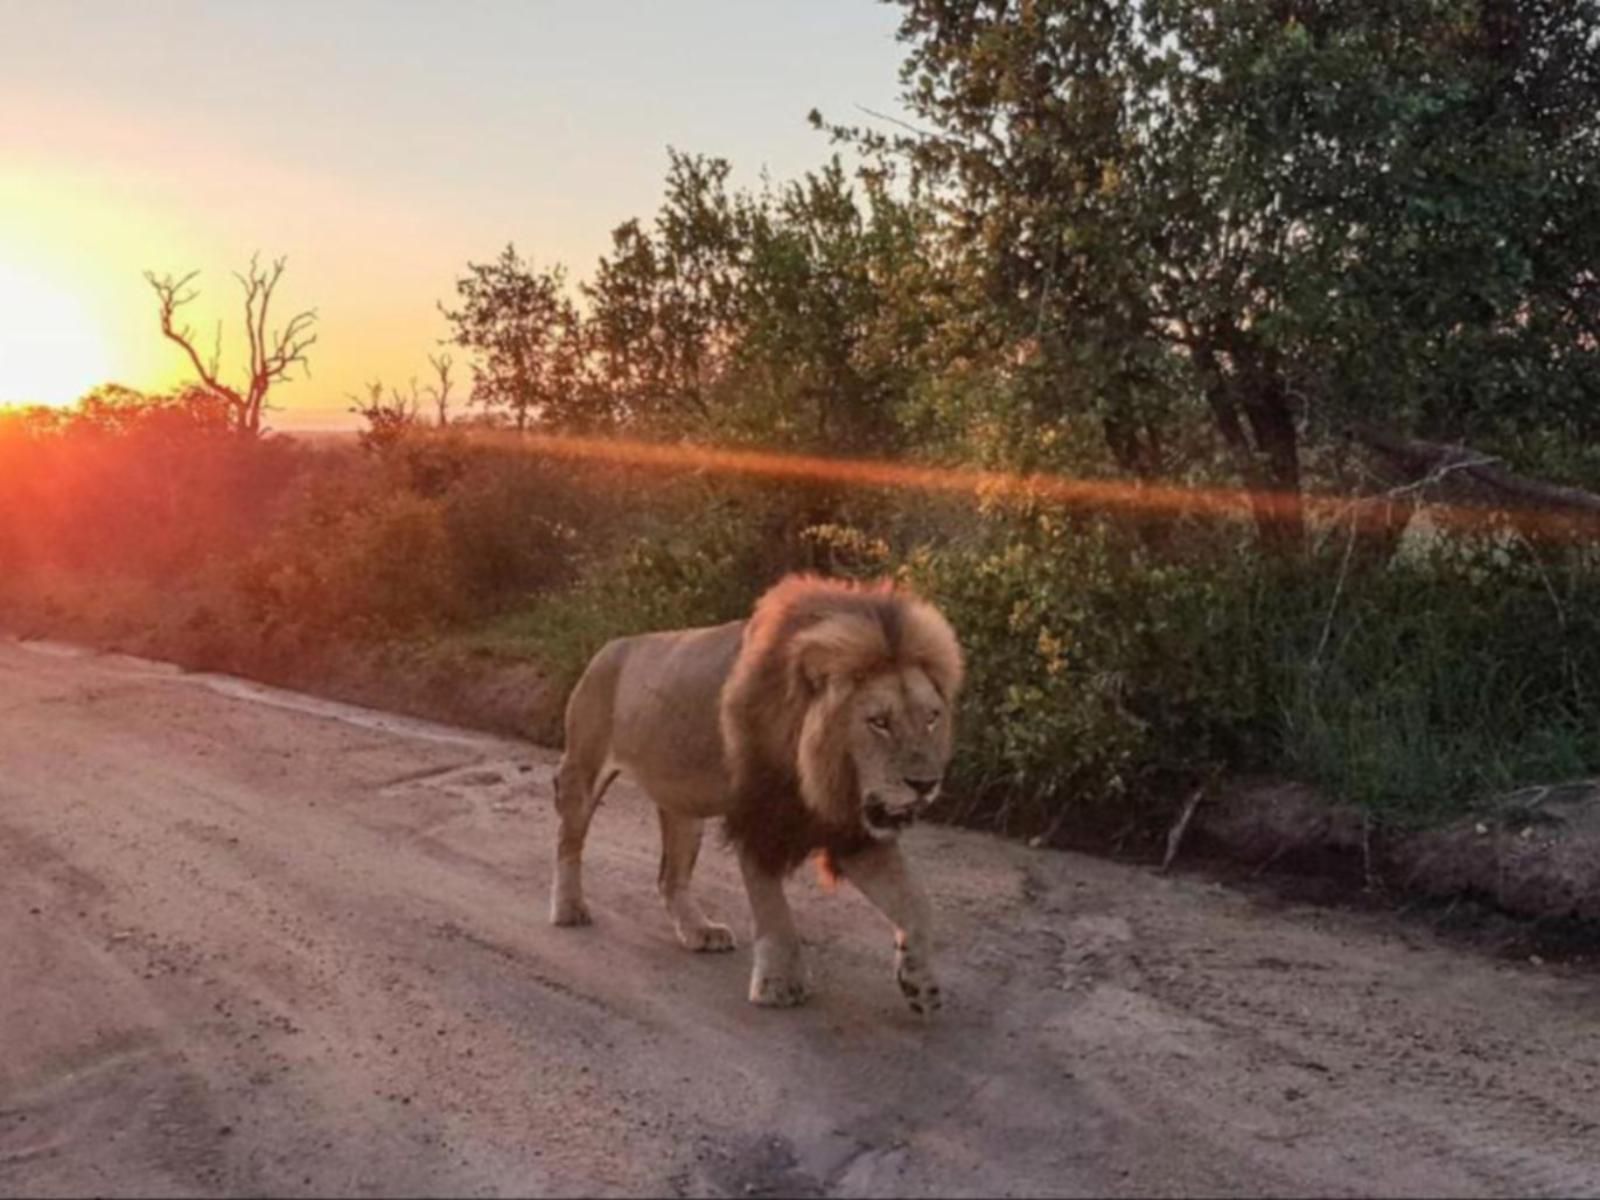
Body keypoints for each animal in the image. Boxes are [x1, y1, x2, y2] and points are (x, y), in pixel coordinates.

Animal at [547, 572, 960, 1017]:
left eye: (931, 718)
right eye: (879, 722)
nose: (925, 784)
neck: (824, 774)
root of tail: (609, 647)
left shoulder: (852, 830)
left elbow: (917, 901)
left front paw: (920, 984)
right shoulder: (758, 816)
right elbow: (772, 909)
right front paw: (780, 984)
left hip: (684, 808)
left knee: (670, 878)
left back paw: (699, 930)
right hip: (583, 773)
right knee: (568, 843)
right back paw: (569, 908)